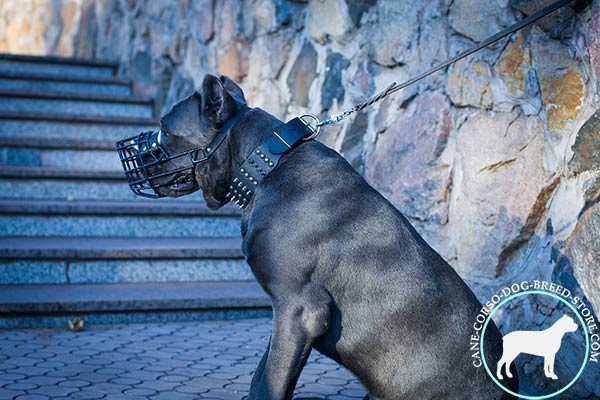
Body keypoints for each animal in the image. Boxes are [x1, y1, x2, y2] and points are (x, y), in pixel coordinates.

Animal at [149, 75, 516, 400]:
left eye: (165, 130)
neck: (267, 164)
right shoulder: (284, 314)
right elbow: (261, 375)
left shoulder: (299, 309)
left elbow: (271, 382)